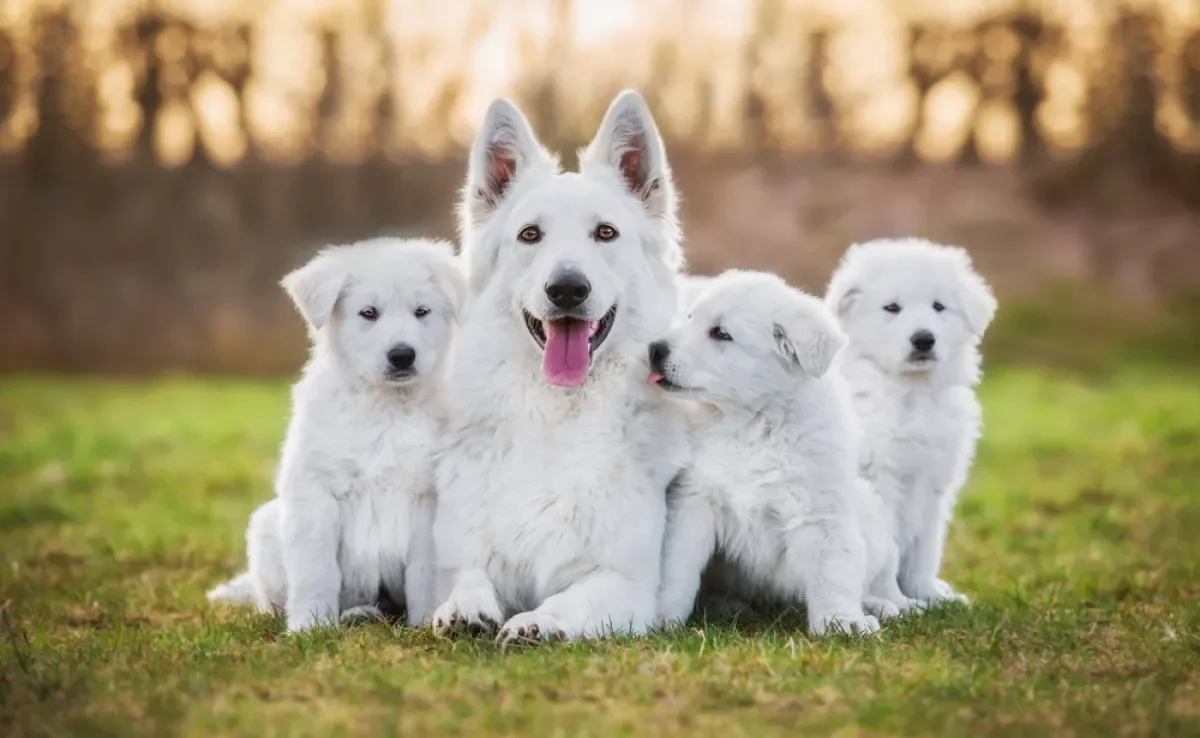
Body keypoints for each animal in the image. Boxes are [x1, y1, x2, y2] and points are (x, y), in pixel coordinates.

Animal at [204, 240, 465, 633]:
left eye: (422, 311)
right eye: (368, 313)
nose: (402, 355)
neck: (385, 407)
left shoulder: (428, 498)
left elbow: (424, 574)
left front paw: (424, 624)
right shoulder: (315, 491)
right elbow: (316, 570)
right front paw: (309, 627)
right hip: (266, 527)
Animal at [432, 91, 691, 643]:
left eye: (606, 233)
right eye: (530, 234)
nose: (567, 289)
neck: (557, 413)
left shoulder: (625, 584)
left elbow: (574, 598)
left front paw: (539, 620)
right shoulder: (460, 557)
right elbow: (468, 577)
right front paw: (465, 608)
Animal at [652, 271, 888, 633]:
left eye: (720, 333)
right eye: (689, 317)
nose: (654, 349)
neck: (753, 424)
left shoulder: (822, 511)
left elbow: (833, 571)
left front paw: (841, 621)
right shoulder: (694, 501)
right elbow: (678, 567)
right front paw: (663, 619)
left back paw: (884, 606)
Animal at [825, 236, 993, 607]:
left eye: (939, 306)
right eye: (892, 308)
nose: (924, 339)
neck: (911, 393)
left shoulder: (934, 485)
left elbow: (924, 549)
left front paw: (929, 596)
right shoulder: (880, 484)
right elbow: (887, 552)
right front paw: (900, 604)